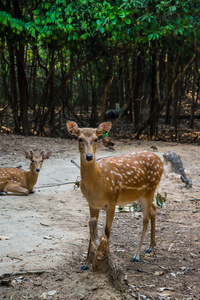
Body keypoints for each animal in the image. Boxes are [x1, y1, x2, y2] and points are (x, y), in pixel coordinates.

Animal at [66, 120, 163, 270]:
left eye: (96, 139)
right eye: (79, 138)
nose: (89, 156)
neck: (98, 182)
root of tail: (161, 162)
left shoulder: (112, 200)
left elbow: (107, 231)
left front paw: (106, 261)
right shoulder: (91, 204)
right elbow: (91, 232)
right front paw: (86, 263)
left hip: (150, 189)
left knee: (145, 219)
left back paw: (137, 255)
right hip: (141, 194)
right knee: (154, 208)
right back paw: (151, 246)